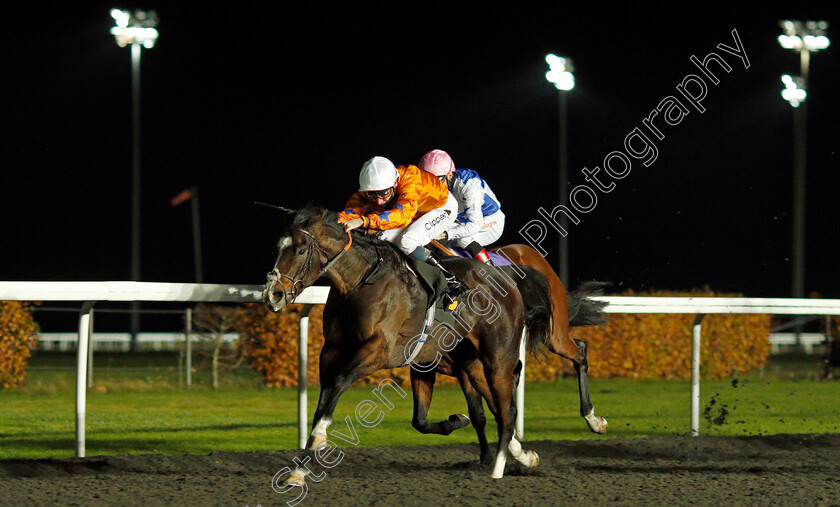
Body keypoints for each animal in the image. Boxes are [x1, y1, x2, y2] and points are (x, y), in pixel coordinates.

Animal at [260, 203, 556, 480]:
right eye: (275, 250)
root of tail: (508, 278)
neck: (362, 281)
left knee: (507, 411)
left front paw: (319, 438)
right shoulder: (332, 351)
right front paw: (300, 468)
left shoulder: (380, 350)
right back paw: (524, 455)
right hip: (471, 364)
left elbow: (340, 382)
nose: (273, 294)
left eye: (300, 251)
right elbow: (333, 399)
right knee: (498, 408)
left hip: (498, 360)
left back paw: (497, 469)